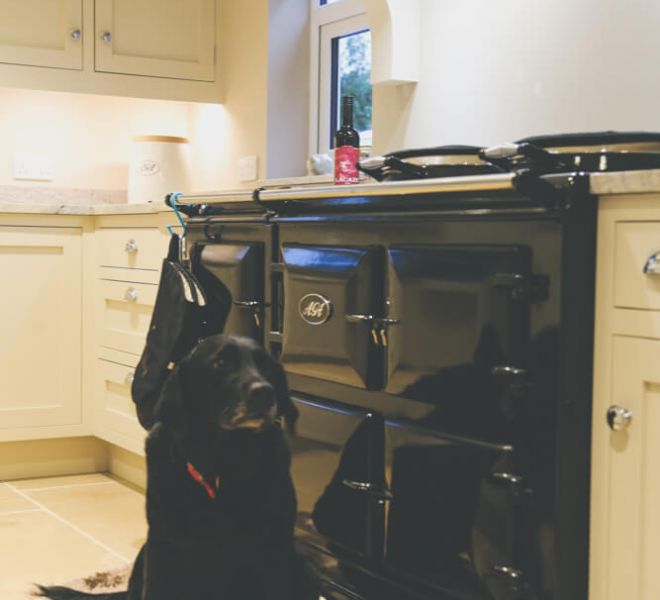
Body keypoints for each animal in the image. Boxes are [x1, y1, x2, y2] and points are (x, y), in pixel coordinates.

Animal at [37, 336, 318, 600]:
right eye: (221, 363)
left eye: (266, 365)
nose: (265, 392)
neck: (223, 463)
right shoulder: (163, 547)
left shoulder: (274, 552)